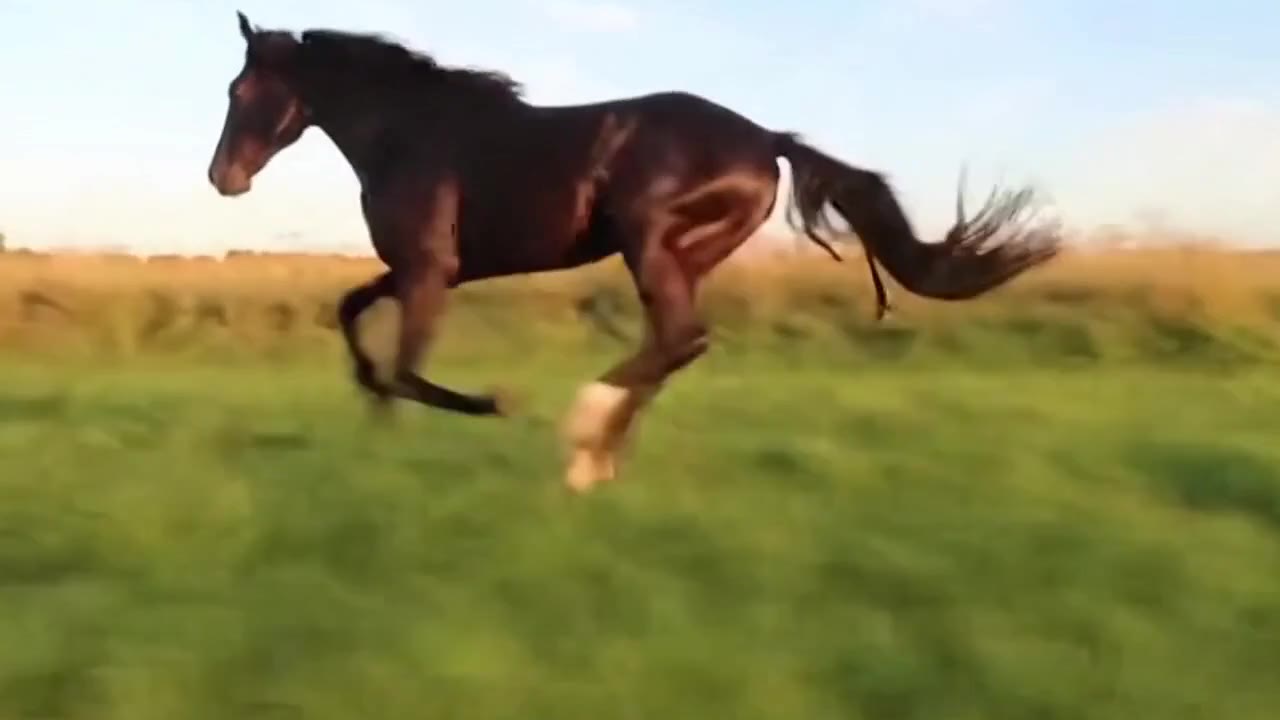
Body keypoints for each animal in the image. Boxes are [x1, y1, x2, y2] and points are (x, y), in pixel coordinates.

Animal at [207, 11, 1063, 493]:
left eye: (240, 93)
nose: (223, 178)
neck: (411, 135)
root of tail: (767, 139)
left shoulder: (430, 271)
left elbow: (406, 372)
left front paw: (490, 405)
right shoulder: (421, 270)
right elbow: (353, 317)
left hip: (650, 241)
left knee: (679, 338)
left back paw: (585, 437)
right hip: (683, 254)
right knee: (674, 343)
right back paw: (597, 457)